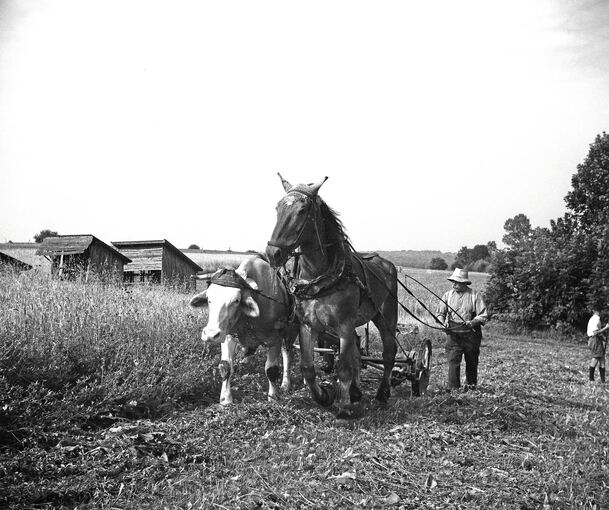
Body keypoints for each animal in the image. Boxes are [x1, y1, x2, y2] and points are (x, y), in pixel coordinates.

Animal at [264, 175, 396, 418]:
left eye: (302, 210)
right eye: (278, 208)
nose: (273, 253)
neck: (321, 277)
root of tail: (387, 265)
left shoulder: (344, 324)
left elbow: (343, 368)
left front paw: (343, 406)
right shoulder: (308, 325)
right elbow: (307, 368)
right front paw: (325, 396)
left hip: (386, 317)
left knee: (389, 352)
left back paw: (382, 393)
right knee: (357, 352)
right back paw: (356, 392)